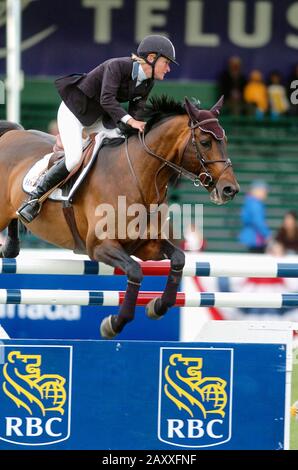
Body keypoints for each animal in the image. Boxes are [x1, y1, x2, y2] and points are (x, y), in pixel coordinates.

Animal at [0, 95, 239, 338]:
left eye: (225, 140)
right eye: (205, 142)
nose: (230, 189)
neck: (137, 176)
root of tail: (13, 133)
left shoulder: (146, 246)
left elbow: (178, 259)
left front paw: (157, 306)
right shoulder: (99, 246)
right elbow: (135, 271)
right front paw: (115, 323)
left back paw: (10, 247)